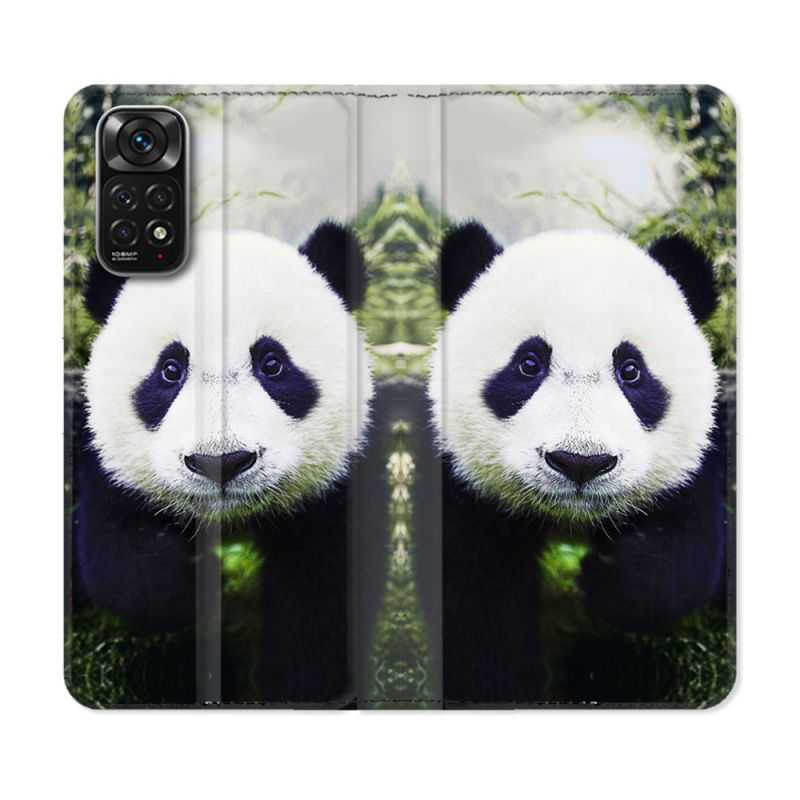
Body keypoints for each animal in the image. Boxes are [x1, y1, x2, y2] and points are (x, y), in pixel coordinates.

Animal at [76, 222, 372, 705]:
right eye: (170, 370)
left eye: (272, 363)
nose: (222, 463)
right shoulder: (110, 469)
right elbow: (120, 558)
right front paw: (193, 590)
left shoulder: (335, 488)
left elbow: (320, 593)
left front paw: (293, 686)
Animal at [429, 222, 727, 705]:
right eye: (528, 364)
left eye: (631, 370)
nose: (580, 463)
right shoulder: (461, 488)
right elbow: (475, 608)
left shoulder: (693, 466)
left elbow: (685, 554)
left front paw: (606, 577)